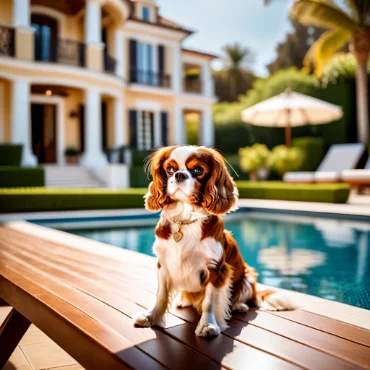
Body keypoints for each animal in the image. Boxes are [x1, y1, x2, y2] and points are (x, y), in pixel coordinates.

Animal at [132, 146, 294, 336]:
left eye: (198, 170)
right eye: (170, 169)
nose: (179, 175)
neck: (185, 219)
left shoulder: (216, 269)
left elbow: (210, 301)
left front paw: (208, 325)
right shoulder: (164, 264)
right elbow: (161, 295)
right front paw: (151, 317)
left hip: (248, 277)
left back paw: (239, 306)